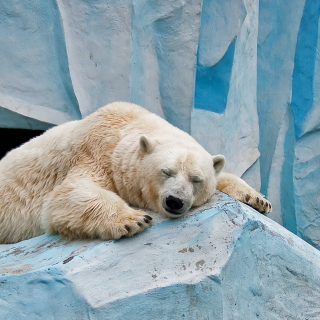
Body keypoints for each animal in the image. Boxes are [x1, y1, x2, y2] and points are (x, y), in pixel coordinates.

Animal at [0, 101, 272, 244]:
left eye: (196, 179)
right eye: (166, 171)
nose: (174, 201)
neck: (126, 125)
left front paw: (258, 200)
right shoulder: (94, 153)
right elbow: (67, 194)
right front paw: (134, 219)